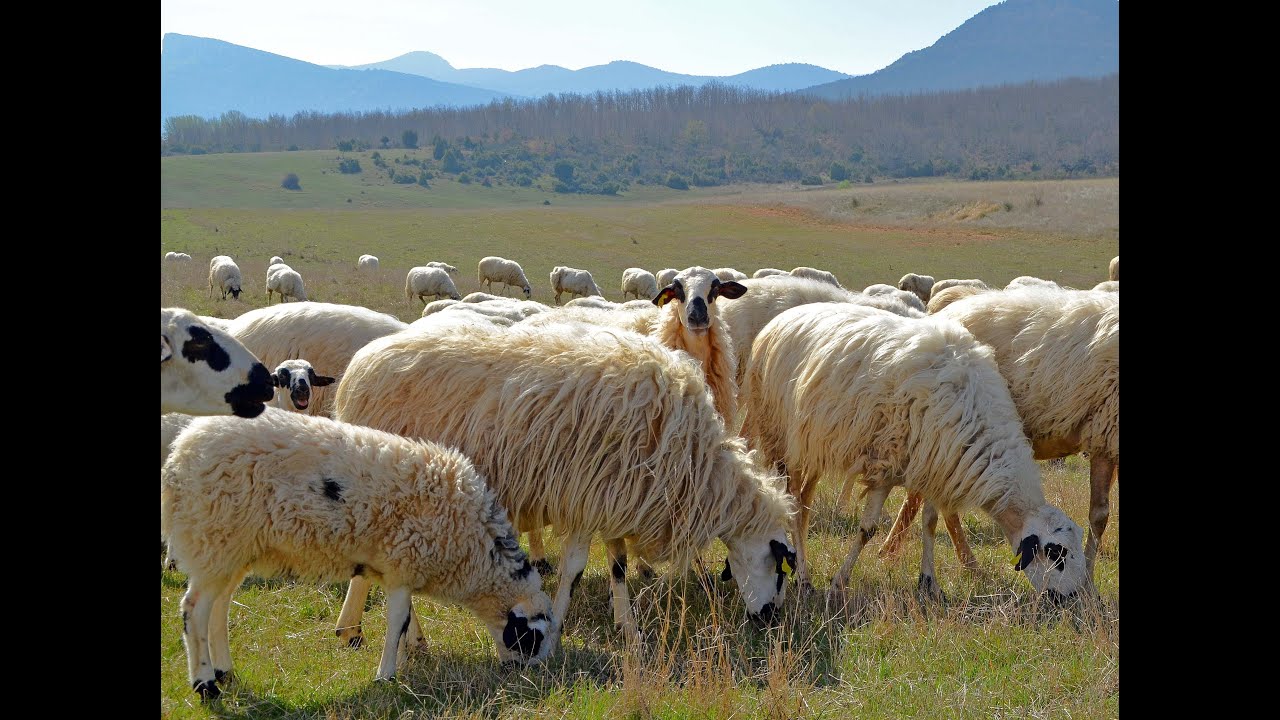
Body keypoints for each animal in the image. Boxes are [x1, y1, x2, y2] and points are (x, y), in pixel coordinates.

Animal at [161, 409, 555, 698]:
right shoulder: (404, 562)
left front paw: (412, 652)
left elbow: (407, 617)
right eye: (532, 638)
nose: (530, 677)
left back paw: (224, 671)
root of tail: (179, 455)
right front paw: (387, 675)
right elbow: (396, 620)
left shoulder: (396, 566)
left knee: (219, 607)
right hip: (214, 538)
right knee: (193, 610)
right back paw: (205, 684)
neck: (475, 550)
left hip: (235, 548)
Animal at [332, 321, 799, 648]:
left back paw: (369, 632)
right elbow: (575, 568)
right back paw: (400, 638)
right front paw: (557, 627)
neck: (696, 465)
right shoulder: (585, 496)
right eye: (780, 568)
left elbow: (617, 564)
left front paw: (627, 628)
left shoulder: (614, 495)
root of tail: (357, 369)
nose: (769, 621)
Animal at [741, 302, 1090, 600]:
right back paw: (803, 577)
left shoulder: (934, 464)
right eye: (1058, 554)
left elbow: (930, 523)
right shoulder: (885, 463)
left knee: (803, 506)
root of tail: (782, 318)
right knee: (794, 505)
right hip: (779, 438)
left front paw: (929, 583)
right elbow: (868, 529)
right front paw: (840, 581)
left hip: (812, 448)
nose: (1076, 598)